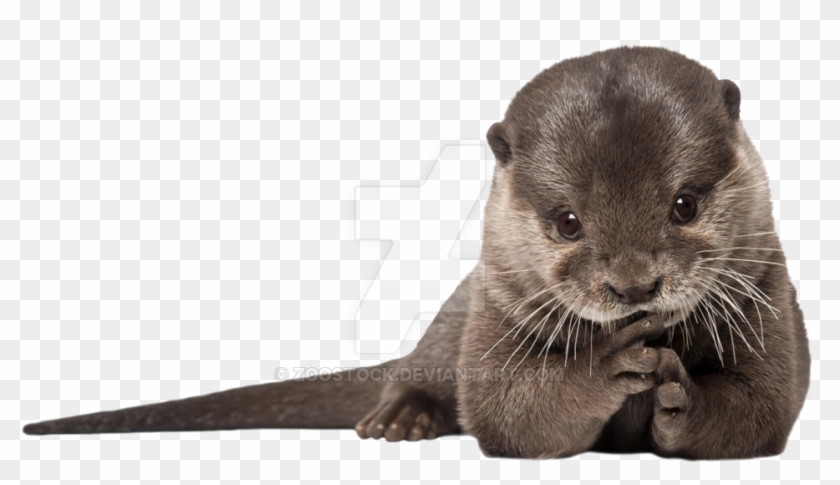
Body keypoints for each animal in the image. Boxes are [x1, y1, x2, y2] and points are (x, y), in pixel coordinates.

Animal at [23, 46, 810, 460]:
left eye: (685, 204)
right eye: (567, 221)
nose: (634, 286)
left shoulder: (769, 294)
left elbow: (765, 406)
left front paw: (683, 392)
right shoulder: (496, 307)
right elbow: (505, 410)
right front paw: (610, 362)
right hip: (456, 311)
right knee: (417, 371)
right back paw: (398, 418)